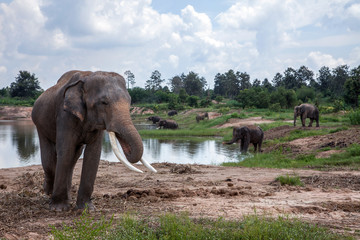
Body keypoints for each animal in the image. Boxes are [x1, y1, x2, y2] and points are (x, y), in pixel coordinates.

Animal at [33, 70, 157, 211]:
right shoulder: (65, 115)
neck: (87, 76)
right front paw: (59, 209)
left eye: (130, 101)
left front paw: (87, 209)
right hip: (39, 123)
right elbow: (65, 150)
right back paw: (48, 193)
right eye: (104, 102)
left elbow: (93, 154)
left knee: (73, 158)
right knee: (49, 159)